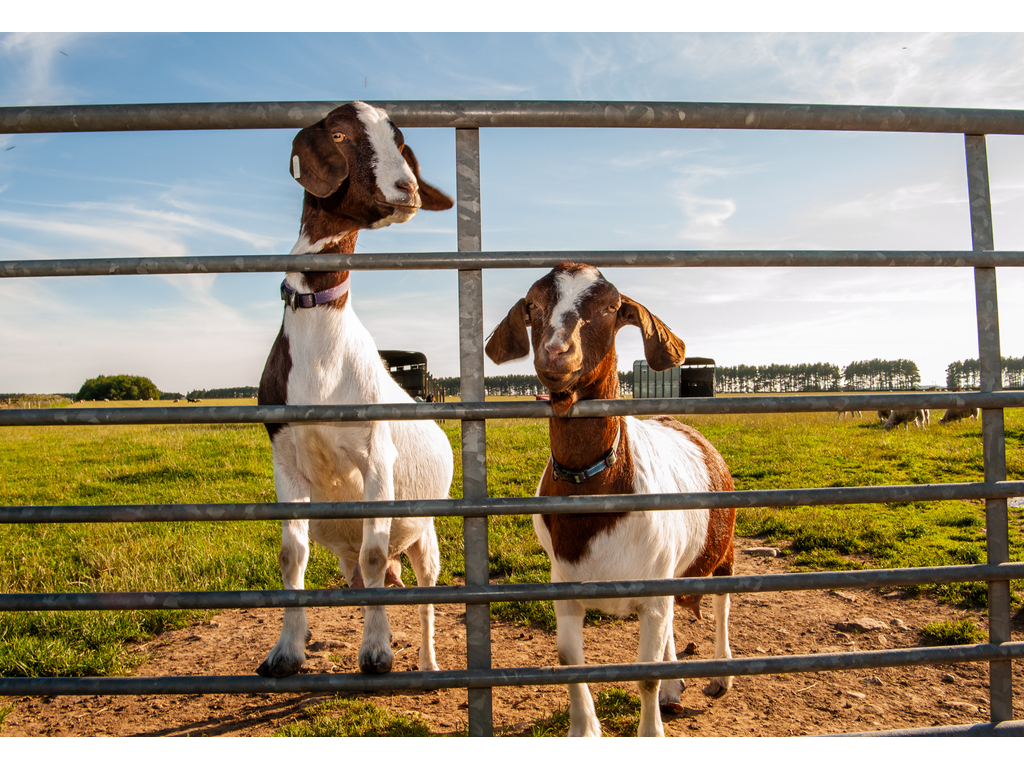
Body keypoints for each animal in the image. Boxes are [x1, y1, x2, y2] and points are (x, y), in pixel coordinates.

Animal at [254, 100, 452, 679]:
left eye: (399, 139)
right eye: (339, 135)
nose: (407, 188)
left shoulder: (376, 456)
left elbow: (374, 550)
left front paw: (377, 652)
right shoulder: (285, 459)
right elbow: (291, 556)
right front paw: (286, 650)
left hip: (426, 535)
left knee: (422, 592)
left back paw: (429, 664)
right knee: (374, 577)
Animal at [485, 264, 737, 741]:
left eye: (610, 307)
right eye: (533, 305)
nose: (556, 353)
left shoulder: (653, 589)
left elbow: (645, 674)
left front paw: (651, 733)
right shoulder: (565, 588)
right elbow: (570, 660)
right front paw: (584, 730)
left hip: (723, 547)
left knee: (722, 602)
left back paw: (720, 677)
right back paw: (675, 691)